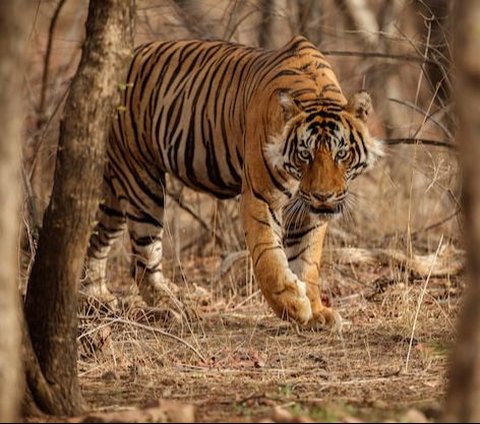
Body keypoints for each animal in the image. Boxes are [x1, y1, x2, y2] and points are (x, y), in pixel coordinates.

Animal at [82, 35, 382, 328]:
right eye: (304, 155)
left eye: (341, 154)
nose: (323, 196)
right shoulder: (261, 197)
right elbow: (268, 257)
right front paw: (293, 305)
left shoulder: (307, 210)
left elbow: (307, 260)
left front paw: (317, 312)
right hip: (142, 181)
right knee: (143, 260)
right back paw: (174, 308)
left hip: (115, 188)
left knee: (97, 237)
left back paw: (96, 296)